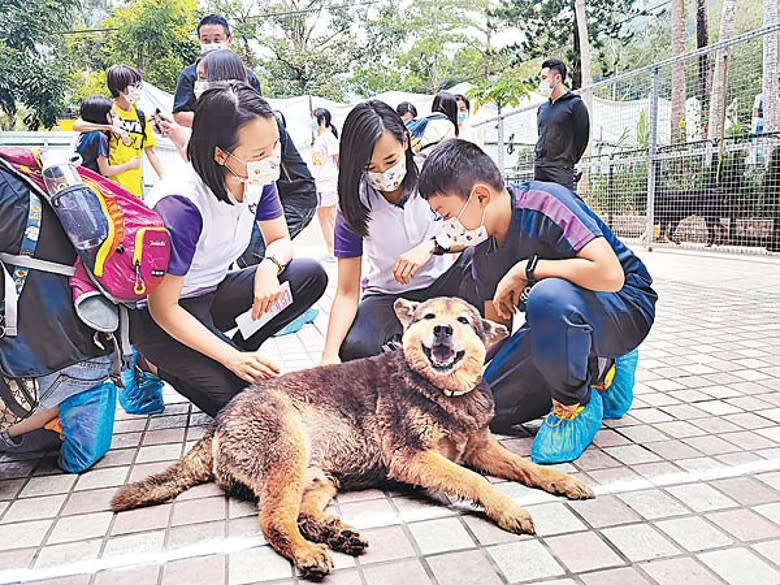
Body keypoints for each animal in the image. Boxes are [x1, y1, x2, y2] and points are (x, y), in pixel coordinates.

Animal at [112, 296, 596, 580]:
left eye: (463, 321)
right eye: (429, 318)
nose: (442, 331)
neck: (442, 390)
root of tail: (221, 420)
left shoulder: (480, 447)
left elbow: (525, 467)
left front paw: (563, 481)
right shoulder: (413, 458)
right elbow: (477, 481)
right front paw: (509, 509)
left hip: (318, 478)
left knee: (301, 515)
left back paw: (334, 534)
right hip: (287, 455)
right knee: (274, 522)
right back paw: (308, 554)